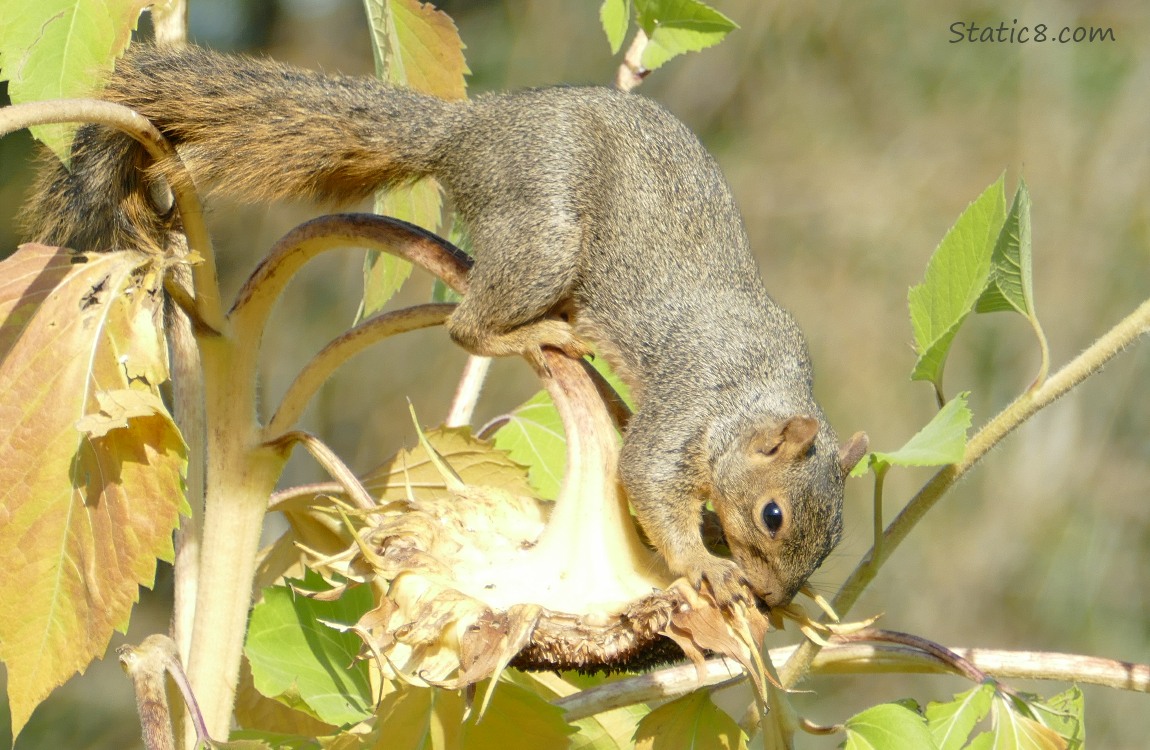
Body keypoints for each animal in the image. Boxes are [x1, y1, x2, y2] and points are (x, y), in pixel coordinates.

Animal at [22, 42, 864, 607]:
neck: (757, 390)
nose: (774, 601)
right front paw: (703, 565)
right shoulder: (688, 403)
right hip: (543, 237)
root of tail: (466, 134)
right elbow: (648, 478)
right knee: (466, 326)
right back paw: (527, 333)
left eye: (830, 542)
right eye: (773, 514)